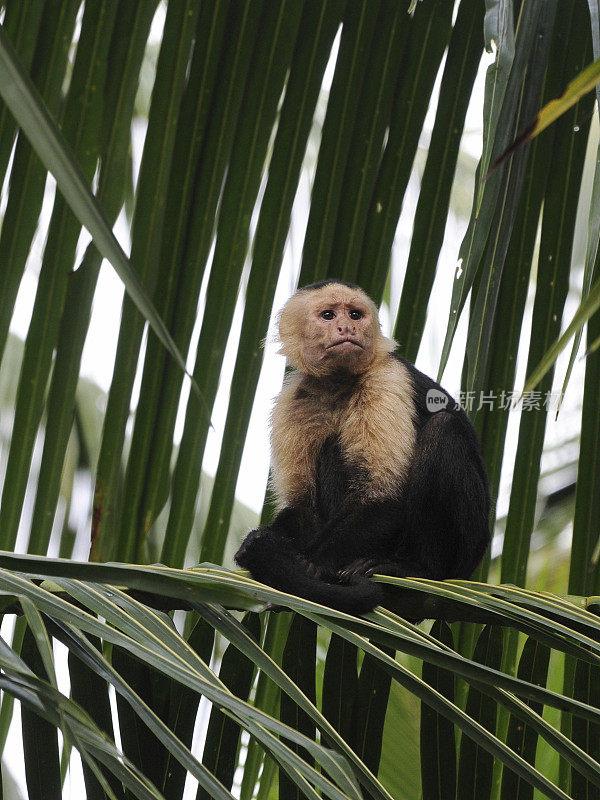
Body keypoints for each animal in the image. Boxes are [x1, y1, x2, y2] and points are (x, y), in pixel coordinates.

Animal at [232, 278, 490, 616]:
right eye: (328, 315)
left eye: (355, 314)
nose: (347, 327)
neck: (337, 384)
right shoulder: (294, 401)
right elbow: (302, 505)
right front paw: (266, 545)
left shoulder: (387, 381)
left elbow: (383, 499)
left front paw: (309, 563)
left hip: (469, 547)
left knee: (443, 430)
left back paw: (418, 568)